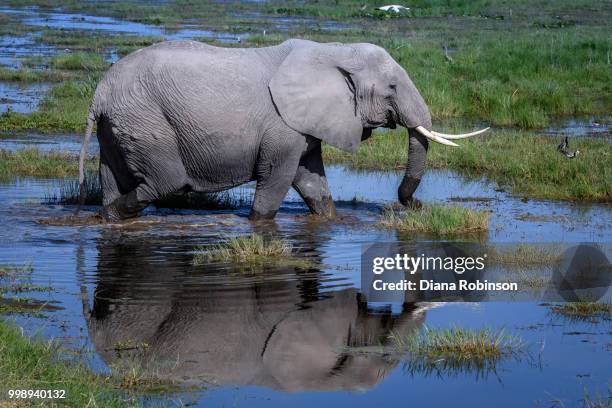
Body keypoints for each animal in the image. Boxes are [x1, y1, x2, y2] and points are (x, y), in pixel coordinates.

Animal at [77, 39, 488, 220]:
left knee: (113, 178)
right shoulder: (282, 125)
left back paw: (106, 215)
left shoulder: (304, 126)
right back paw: (111, 216)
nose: (416, 206)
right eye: (391, 87)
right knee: (166, 182)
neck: (334, 51)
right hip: (146, 120)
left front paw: (331, 221)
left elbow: (312, 180)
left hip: (120, 124)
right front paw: (260, 226)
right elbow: (277, 178)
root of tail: (99, 93)